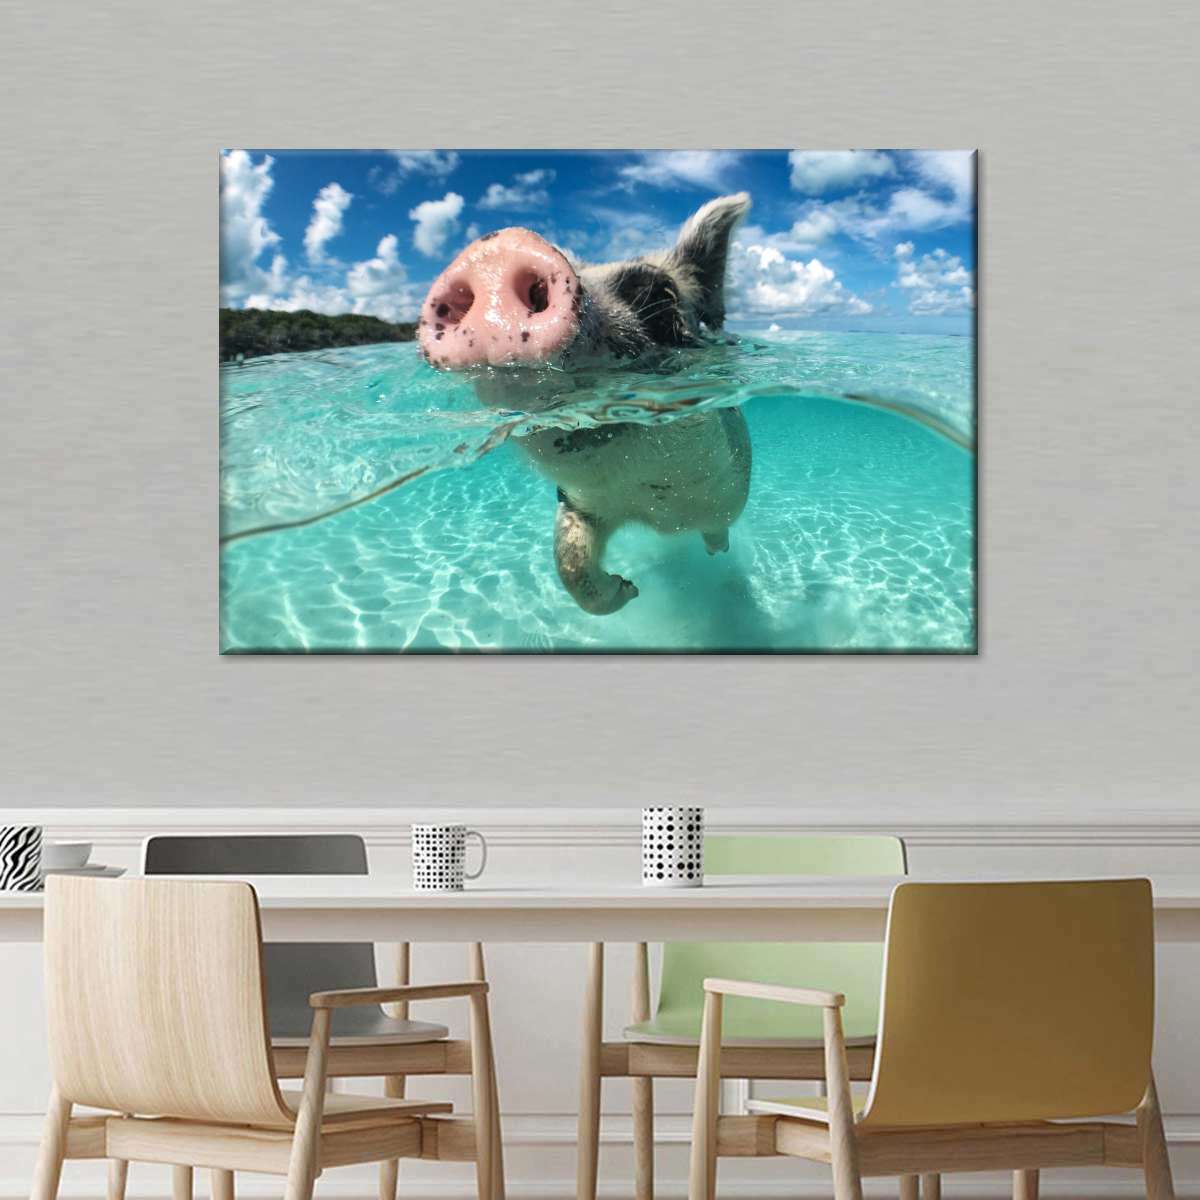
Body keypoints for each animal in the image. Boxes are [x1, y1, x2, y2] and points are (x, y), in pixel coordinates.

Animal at [418, 193, 753, 615]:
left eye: (660, 294)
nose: (495, 251)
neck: (656, 509)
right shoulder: (579, 503)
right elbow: (570, 562)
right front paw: (629, 589)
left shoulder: (726, 491)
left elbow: (717, 525)